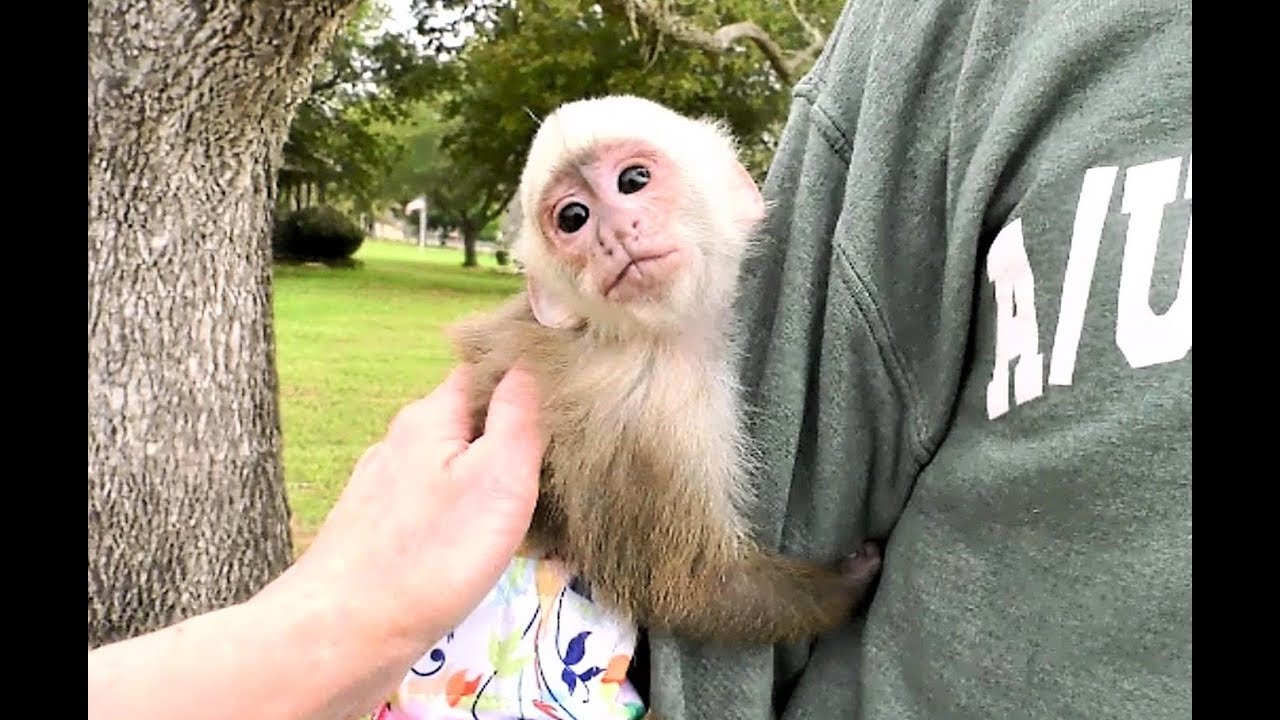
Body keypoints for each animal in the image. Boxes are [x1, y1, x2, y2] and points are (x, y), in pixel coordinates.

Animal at [446, 95, 882, 648]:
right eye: (573, 217)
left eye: (633, 180)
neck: (623, 336)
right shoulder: (646, 407)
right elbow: (691, 585)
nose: (614, 232)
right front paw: (849, 584)